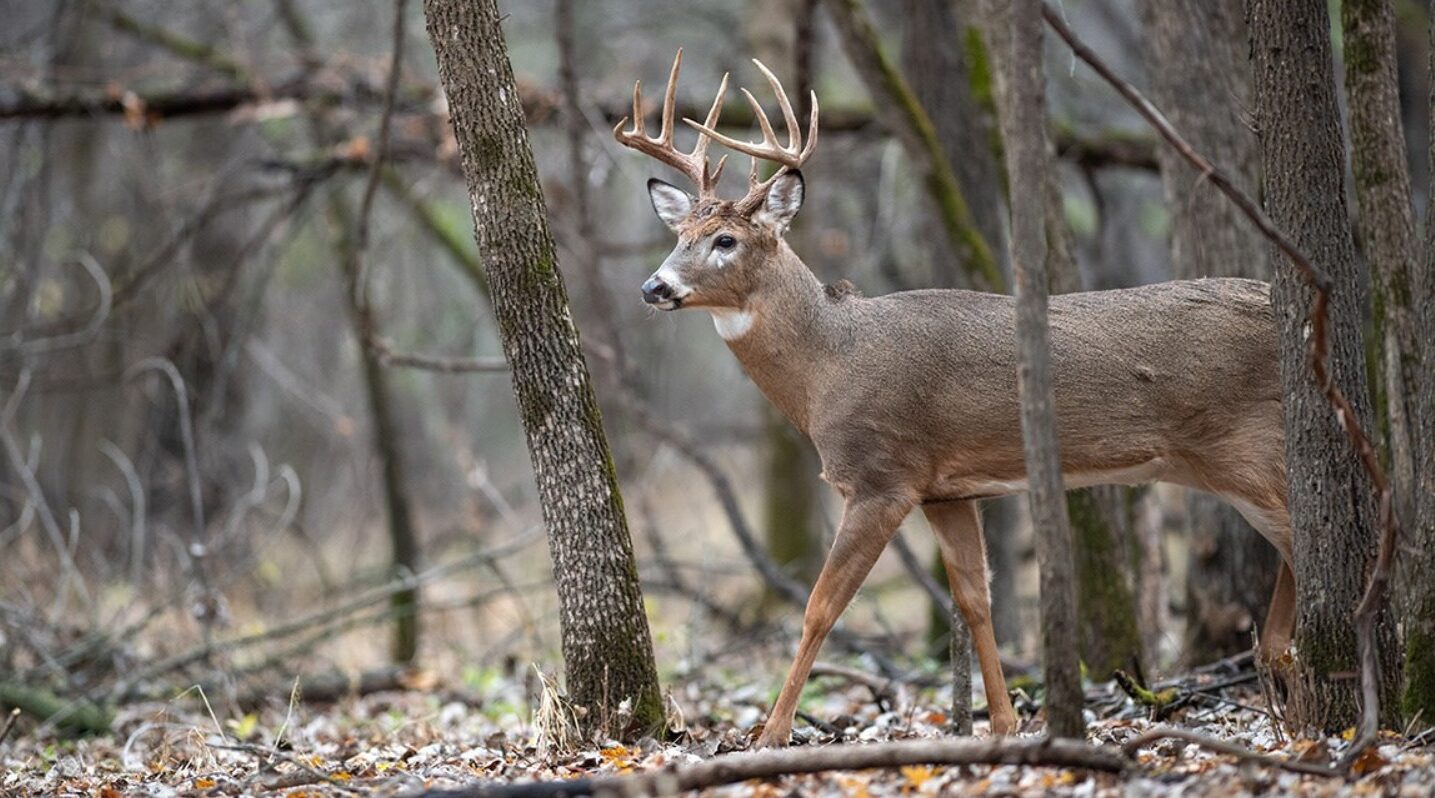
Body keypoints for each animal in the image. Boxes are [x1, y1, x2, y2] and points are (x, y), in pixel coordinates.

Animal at [614, 51, 1294, 747]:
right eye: (680, 234)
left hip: (1246, 444)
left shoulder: (882, 477)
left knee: (1303, 536)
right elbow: (974, 598)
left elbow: (820, 607)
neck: (831, 363)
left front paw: (771, 734)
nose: (653, 286)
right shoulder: (946, 490)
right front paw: (1004, 723)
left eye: (725, 240)